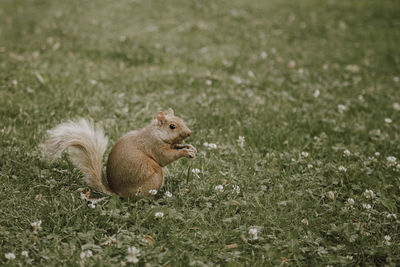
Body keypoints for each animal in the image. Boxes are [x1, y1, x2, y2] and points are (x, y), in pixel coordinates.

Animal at [41, 108, 196, 199]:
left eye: (182, 120)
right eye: (172, 126)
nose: (190, 132)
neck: (155, 132)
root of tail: (118, 193)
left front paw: (190, 147)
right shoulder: (154, 146)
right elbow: (166, 157)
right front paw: (185, 151)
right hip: (154, 178)